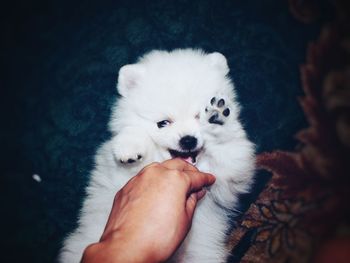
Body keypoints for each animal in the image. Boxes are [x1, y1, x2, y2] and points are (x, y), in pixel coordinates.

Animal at [59, 49, 254, 263]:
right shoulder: (119, 176)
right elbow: (132, 137)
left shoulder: (229, 174)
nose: (188, 140)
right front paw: (130, 146)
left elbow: (229, 150)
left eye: (198, 116)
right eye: (163, 123)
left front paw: (216, 119)